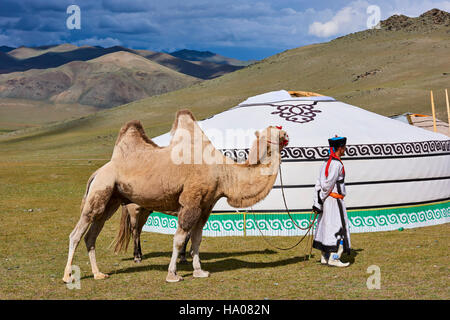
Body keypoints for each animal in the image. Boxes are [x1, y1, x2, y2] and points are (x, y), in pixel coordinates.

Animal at [62, 110, 288, 282]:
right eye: (275, 131)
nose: (286, 132)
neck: (223, 173)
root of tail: (97, 172)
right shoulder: (191, 201)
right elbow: (179, 239)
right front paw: (173, 274)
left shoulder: (205, 205)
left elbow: (197, 238)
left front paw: (199, 271)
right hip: (101, 190)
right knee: (77, 233)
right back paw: (68, 276)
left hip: (111, 200)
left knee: (91, 235)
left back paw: (98, 273)